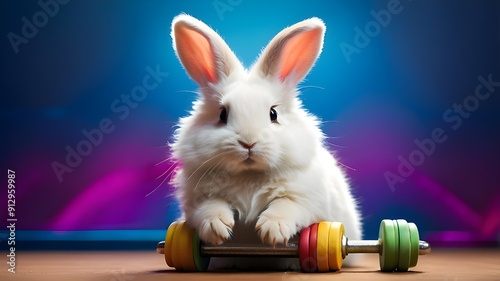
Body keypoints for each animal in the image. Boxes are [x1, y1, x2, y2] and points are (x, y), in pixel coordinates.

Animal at [170, 14, 362, 268]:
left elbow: (286, 206)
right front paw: (217, 228)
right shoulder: (196, 199)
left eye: (273, 113)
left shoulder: (305, 199)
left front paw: (272, 230)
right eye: (222, 114)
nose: (248, 142)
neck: (249, 175)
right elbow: (210, 207)